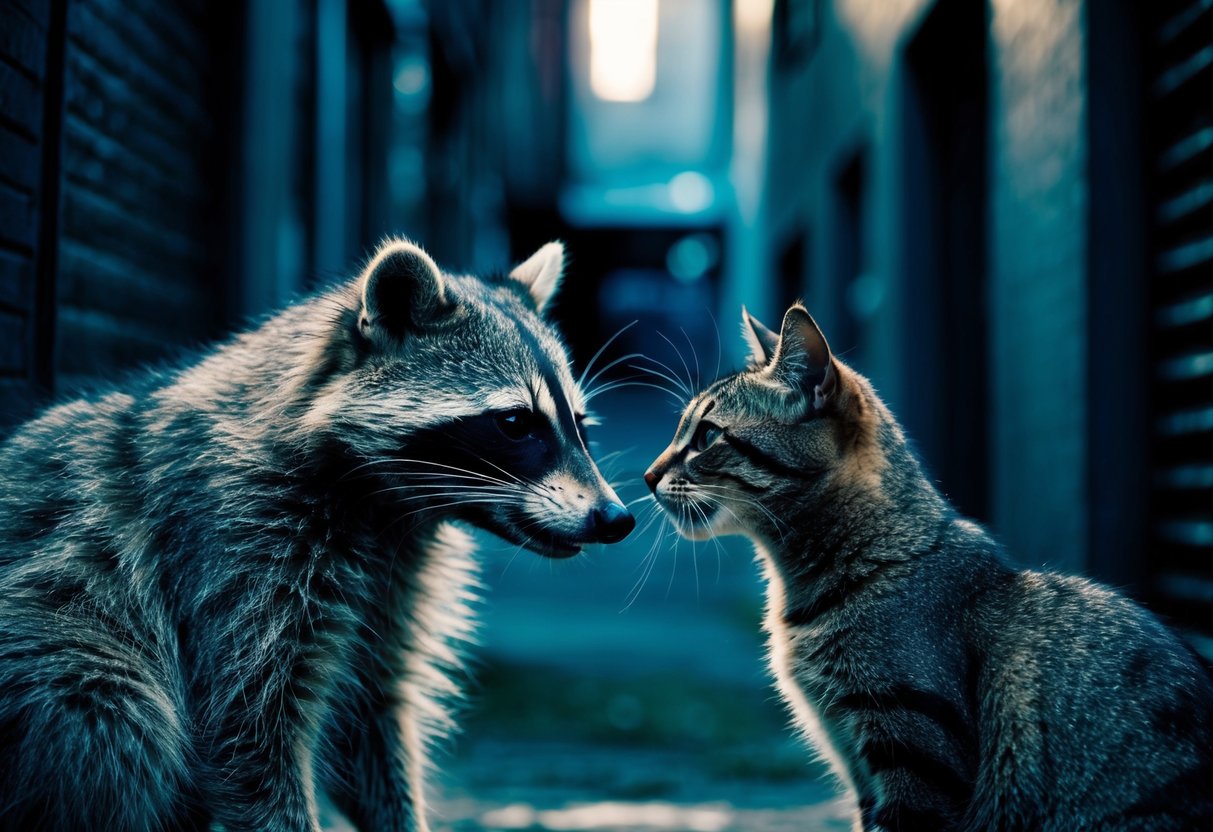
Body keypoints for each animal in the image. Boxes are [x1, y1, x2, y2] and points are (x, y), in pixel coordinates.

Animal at [0, 238, 634, 832]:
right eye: (515, 423)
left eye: (580, 425)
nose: (616, 518)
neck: (386, 509)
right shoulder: (234, 544)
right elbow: (246, 734)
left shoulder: (387, 586)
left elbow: (367, 724)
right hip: (64, 646)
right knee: (116, 715)